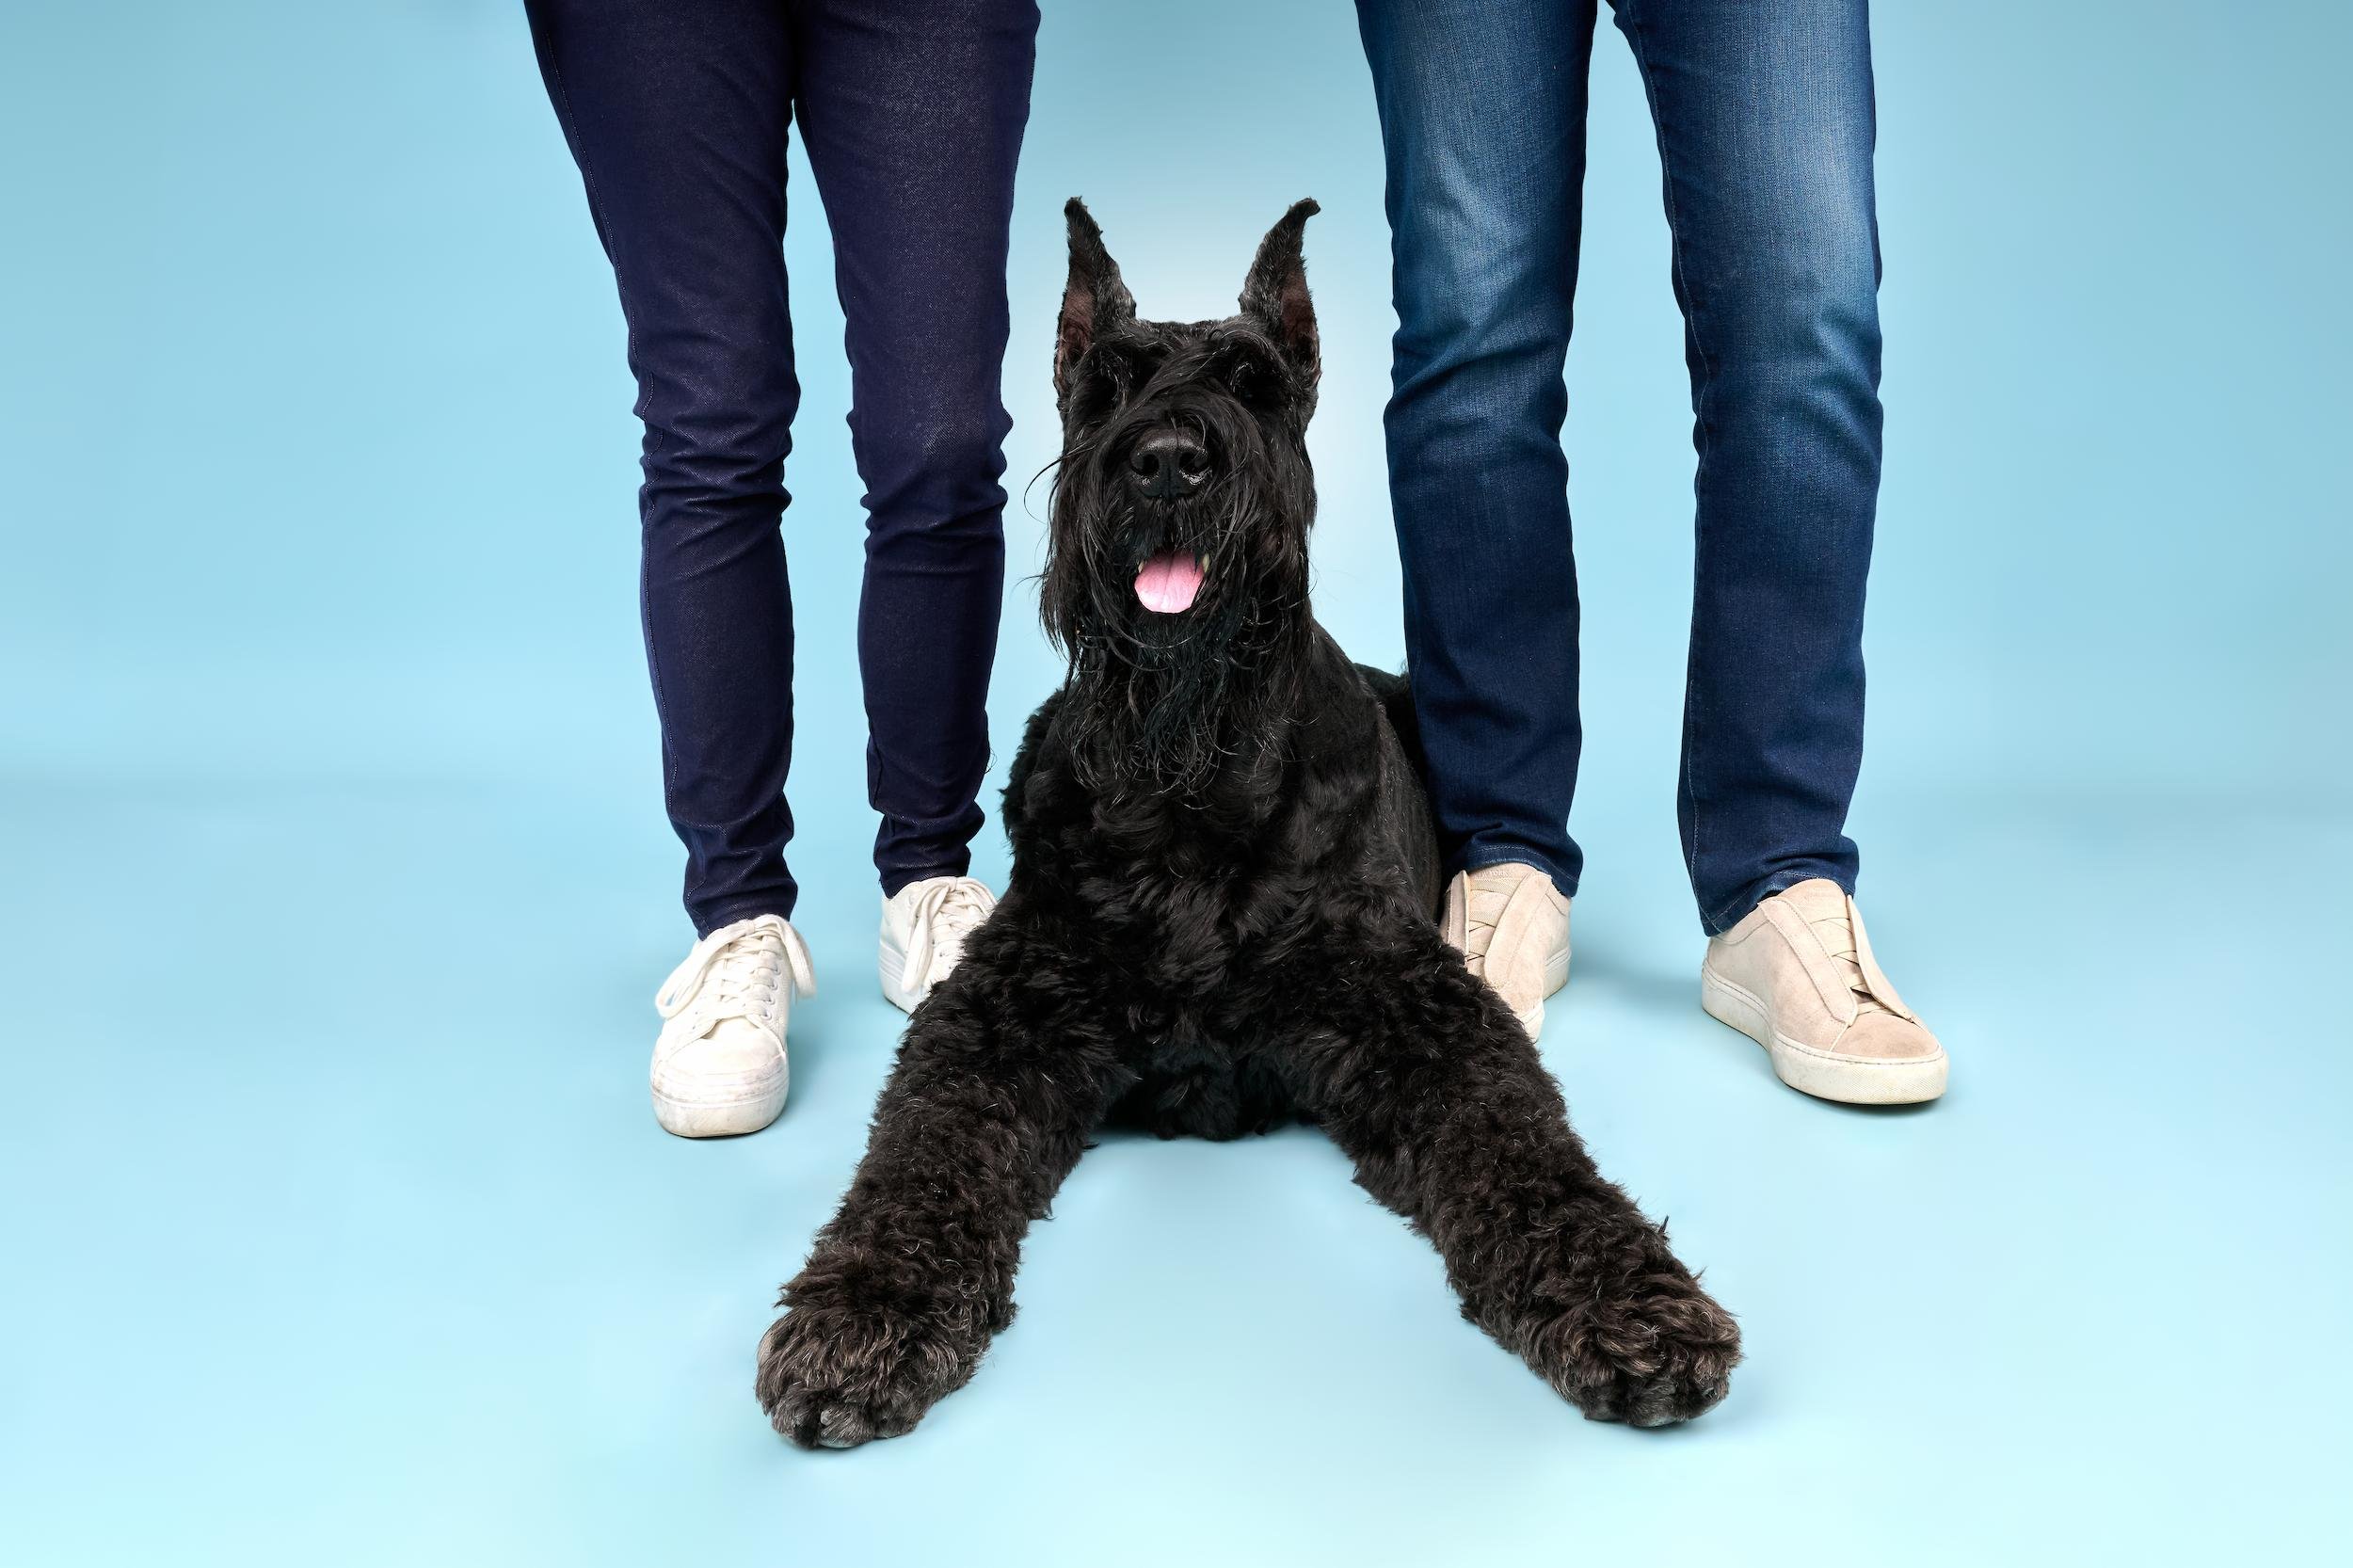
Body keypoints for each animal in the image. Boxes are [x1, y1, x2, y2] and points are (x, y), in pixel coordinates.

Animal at [755, 200, 1740, 1448]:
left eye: (1252, 382)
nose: (1168, 460)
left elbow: (1523, 1143)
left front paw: (1629, 1303)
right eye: (1108, 384)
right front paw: (861, 1314)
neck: (1190, 782)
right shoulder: (1002, 1006)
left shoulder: (1413, 1006)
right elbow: (922, 1150)